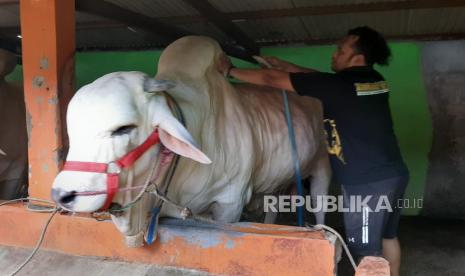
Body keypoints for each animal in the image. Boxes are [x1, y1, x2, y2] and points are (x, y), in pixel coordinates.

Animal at [51, 36, 330, 246]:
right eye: (73, 131)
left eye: (123, 129)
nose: (62, 195)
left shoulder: (230, 203)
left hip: (322, 168)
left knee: (320, 206)